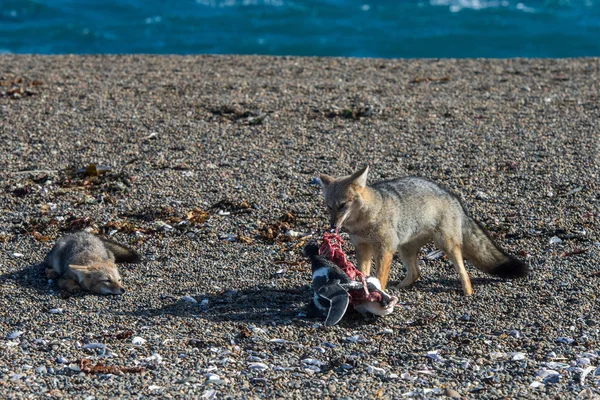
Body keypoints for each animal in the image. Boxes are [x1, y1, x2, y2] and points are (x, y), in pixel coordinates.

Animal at [316, 166, 528, 296]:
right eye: (329, 207)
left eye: (342, 205)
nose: (332, 226)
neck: (364, 221)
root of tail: (455, 199)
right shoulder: (363, 248)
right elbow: (364, 273)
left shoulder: (385, 248)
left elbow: (379, 276)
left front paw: (378, 293)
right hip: (404, 249)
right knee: (416, 273)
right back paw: (400, 287)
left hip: (445, 245)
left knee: (464, 273)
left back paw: (467, 293)